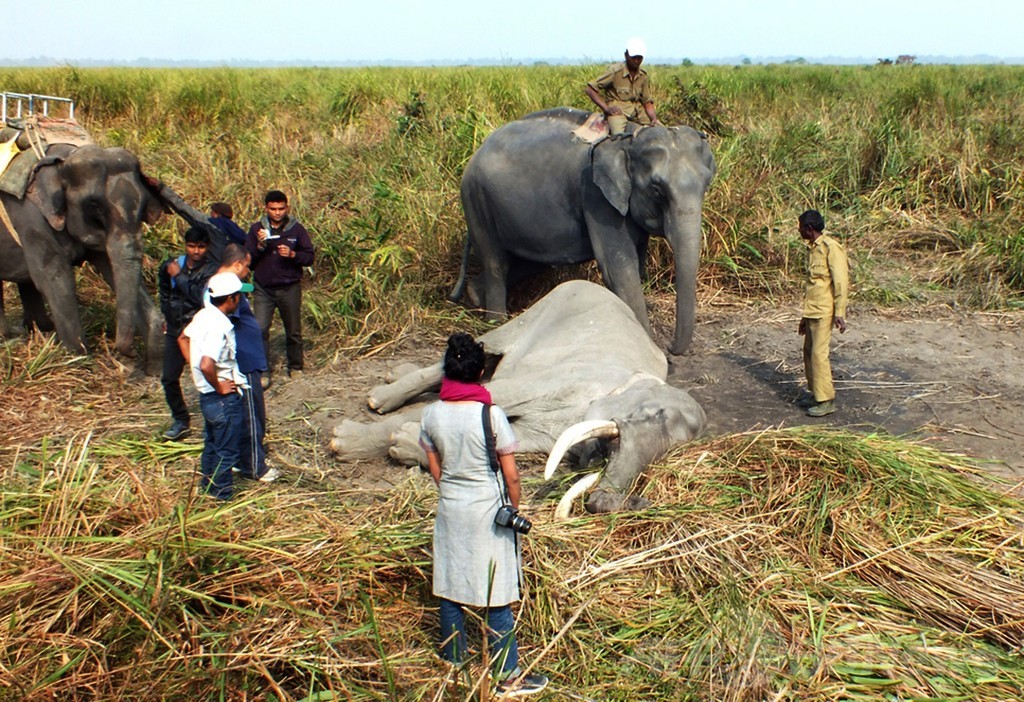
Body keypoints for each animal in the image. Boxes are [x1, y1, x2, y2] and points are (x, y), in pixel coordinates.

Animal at [331, 280, 708, 517]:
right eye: (653, 413)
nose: (621, 501)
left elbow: (507, 441)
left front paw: (405, 443)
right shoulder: (568, 379)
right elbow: (496, 396)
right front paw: (343, 442)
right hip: (538, 310)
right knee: (481, 349)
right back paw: (379, 398)